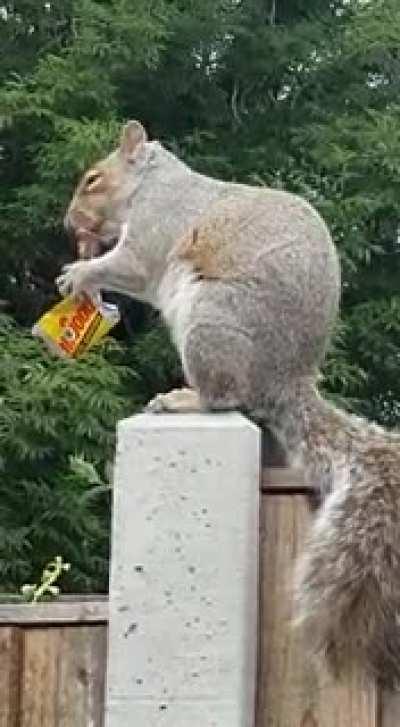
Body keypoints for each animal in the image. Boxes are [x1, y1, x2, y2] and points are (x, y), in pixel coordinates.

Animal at [58, 120, 400, 689]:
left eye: (92, 180)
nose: (69, 225)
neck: (153, 183)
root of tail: (286, 381)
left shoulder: (156, 228)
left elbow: (131, 265)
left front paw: (80, 275)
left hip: (212, 320)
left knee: (226, 397)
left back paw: (185, 398)